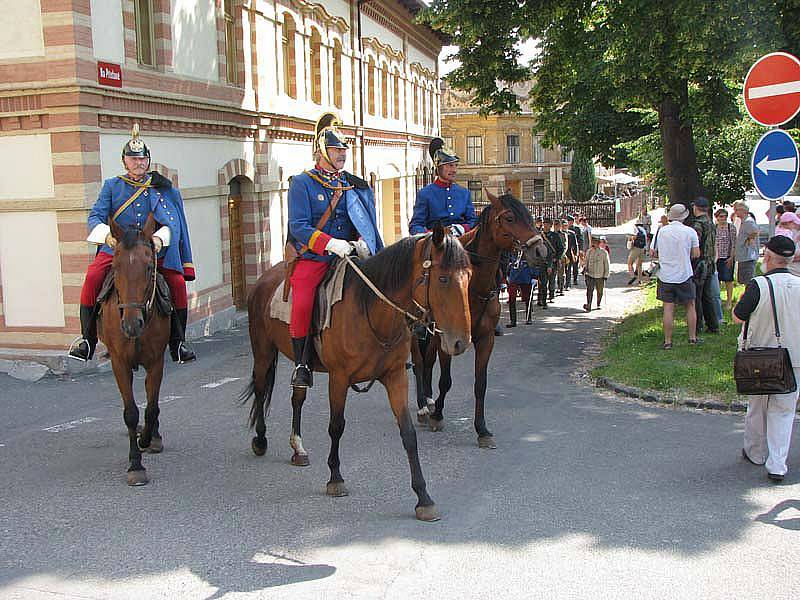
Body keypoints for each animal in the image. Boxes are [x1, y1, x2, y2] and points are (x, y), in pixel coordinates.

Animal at [99, 213, 171, 486]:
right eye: (116, 267)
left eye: (149, 267)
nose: (131, 325)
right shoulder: (119, 363)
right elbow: (131, 413)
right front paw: (135, 465)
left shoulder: (156, 361)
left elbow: (151, 408)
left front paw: (146, 439)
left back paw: (154, 437)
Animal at [241, 225, 472, 520]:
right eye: (443, 278)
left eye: (469, 276)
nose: (460, 342)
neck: (370, 309)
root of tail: (264, 279)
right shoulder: (339, 379)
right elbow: (336, 426)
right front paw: (335, 478)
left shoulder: (395, 377)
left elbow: (408, 433)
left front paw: (423, 497)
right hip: (263, 352)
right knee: (260, 390)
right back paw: (260, 439)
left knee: (297, 397)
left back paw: (298, 448)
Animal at [412, 190, 552, 448]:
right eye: (509, 217)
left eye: (529, 215)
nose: (540, 252)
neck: (472, 285)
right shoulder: (449, 341)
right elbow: (445, 380)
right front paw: (437, 415)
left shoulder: (486, 339)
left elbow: (481, 384)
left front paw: (482, 429)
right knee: (419, 363)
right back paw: (423, 408)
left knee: (427, 363)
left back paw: (428, 400)